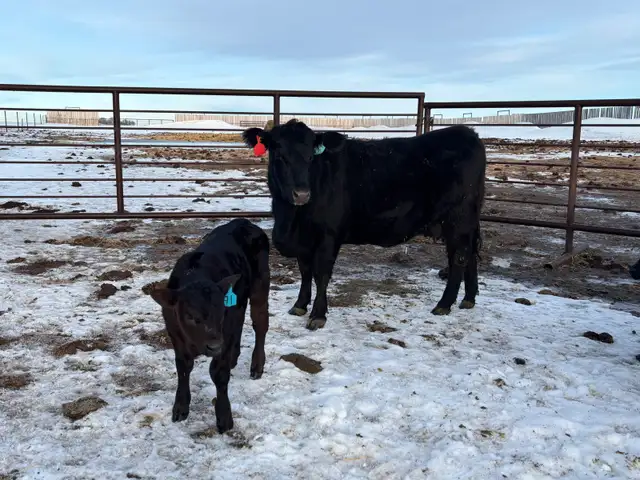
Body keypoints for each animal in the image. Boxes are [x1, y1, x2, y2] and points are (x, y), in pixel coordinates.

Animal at [149, 218, 270, 433]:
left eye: (221, 312)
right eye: (189, 316)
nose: (214, 346)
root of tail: (244, 221)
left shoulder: (224, 331)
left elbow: (218, 373)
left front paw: (224, 416)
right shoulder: (175, 336)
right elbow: (183, 367)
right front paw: (180, 407)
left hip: (260, 286)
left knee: (260, 324)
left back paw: (257, 365)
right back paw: (234, 358)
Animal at [242, 119, 486, 330]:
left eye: (311, 157)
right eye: (279, 154)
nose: (302, 194)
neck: (291, 218)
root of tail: (468, 133)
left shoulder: (329, 235)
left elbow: (321, 274)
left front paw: (318, 315)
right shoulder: (304, 240)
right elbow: (305, 271)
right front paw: (300, 305)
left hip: (458, 219)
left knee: (459, 258)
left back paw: (444, 304)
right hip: (464, 222)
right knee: (469, 255)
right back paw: (468, 299)